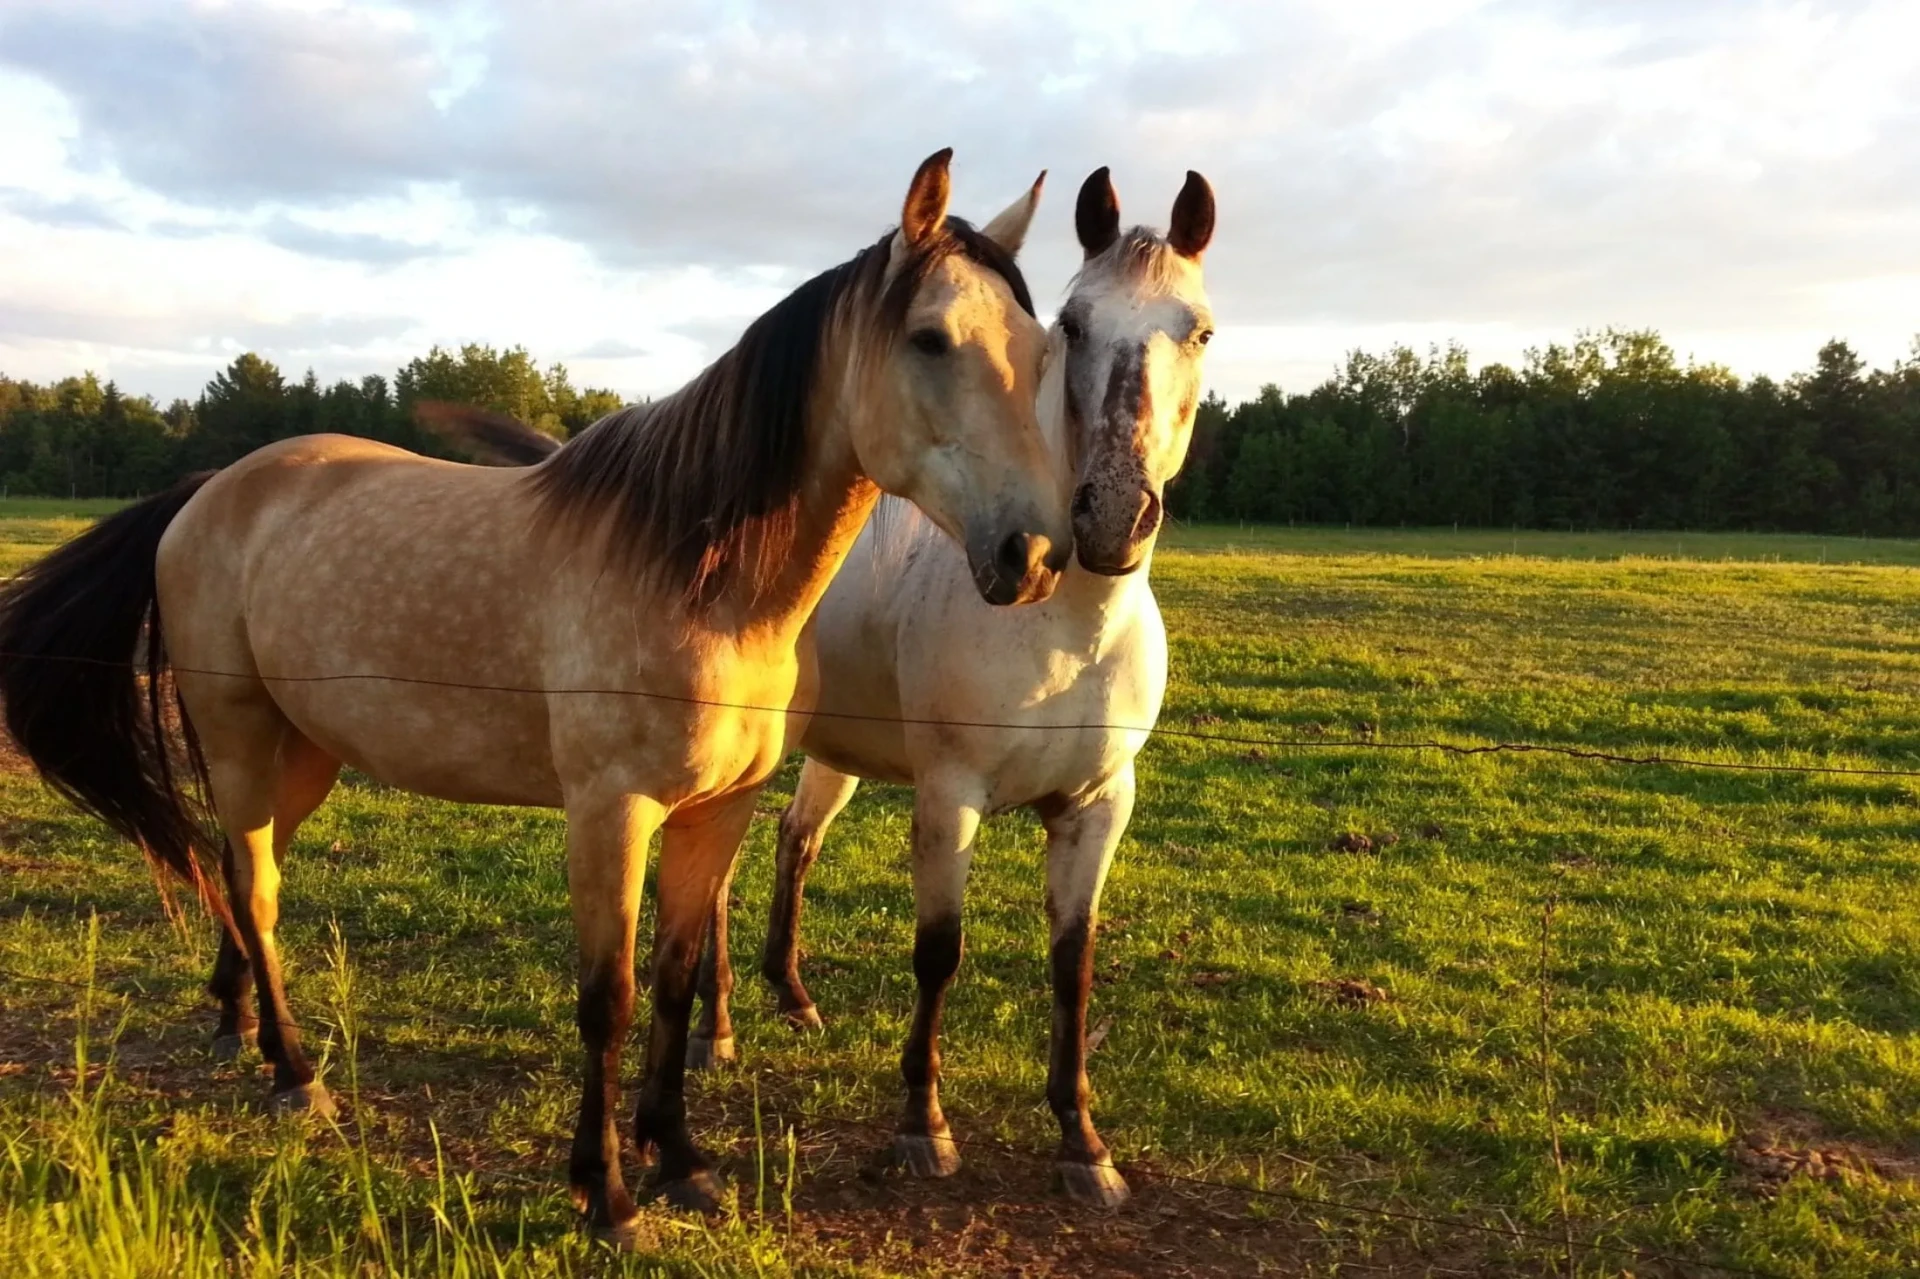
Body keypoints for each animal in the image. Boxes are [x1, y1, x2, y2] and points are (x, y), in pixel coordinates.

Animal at [0, 150, 1070, 1245]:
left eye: (1039, 348)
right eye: (930, 337)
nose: (1032, 555)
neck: (700, 575)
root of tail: (209, 489)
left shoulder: (717, 812)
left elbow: (676, 981)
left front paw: (681, 1160)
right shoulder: (610, 810)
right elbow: (610, 997)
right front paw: (607, 1192)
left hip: (301, 752)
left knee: (238, 869)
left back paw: (240, 1024)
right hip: (240, 736)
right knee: (256, 889)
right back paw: (297, 1074)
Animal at [428, 168, 1217, 1209]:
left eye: (1199, 329)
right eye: (1075, 326)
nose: (1110, 517)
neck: (1068, 633)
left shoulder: (1098, 805)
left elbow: (1072, 964)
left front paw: (1082, 1142)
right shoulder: (950, 794)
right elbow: (939, 952)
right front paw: (923, 1127)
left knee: (790, 846)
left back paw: (788, 997)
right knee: (724, 886)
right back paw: (720, 1031)